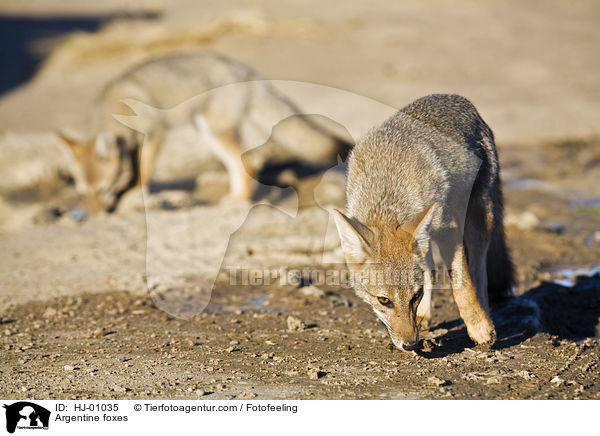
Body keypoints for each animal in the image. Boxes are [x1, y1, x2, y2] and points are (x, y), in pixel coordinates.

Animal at [56, 52, 352, 214]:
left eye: (102, 189)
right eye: (82, 194)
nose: (98, 215)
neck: (113, 106)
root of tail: (245, 70)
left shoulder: (155, 133)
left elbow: (143, 172)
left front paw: (136, 196)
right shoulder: (130, 145)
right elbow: (131, 171)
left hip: (215, 131)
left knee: (246, 162)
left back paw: (239, 202)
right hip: (207, 133)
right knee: (240, 163)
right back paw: (235, 198)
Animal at [330, 94, 512, 350]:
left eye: (414, 296)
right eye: (383, 300)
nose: (410, 344)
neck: (388, 189)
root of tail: (457, 98)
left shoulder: (448, 230)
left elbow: (462, 284)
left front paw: (479, 328)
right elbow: (431, 274)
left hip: (478, 217)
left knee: (478, 270)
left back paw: (485, 313)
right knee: (432, 270)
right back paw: (426, 316)